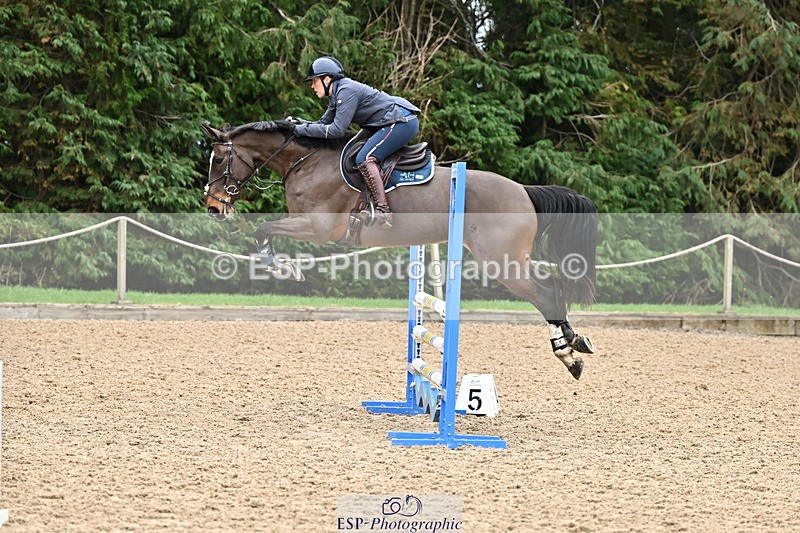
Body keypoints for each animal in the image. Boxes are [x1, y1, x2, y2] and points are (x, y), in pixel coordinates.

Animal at [201, 120, 598, 379]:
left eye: (219, 160)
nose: (213, 207)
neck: (306, 162)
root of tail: (525, 191)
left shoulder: (319, 227)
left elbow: (263, 228)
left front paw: (282, 267)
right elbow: (264, 230)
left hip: (500, 260)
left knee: (546, 290)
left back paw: (568, 354)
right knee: (551, 287)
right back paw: (575, 345)